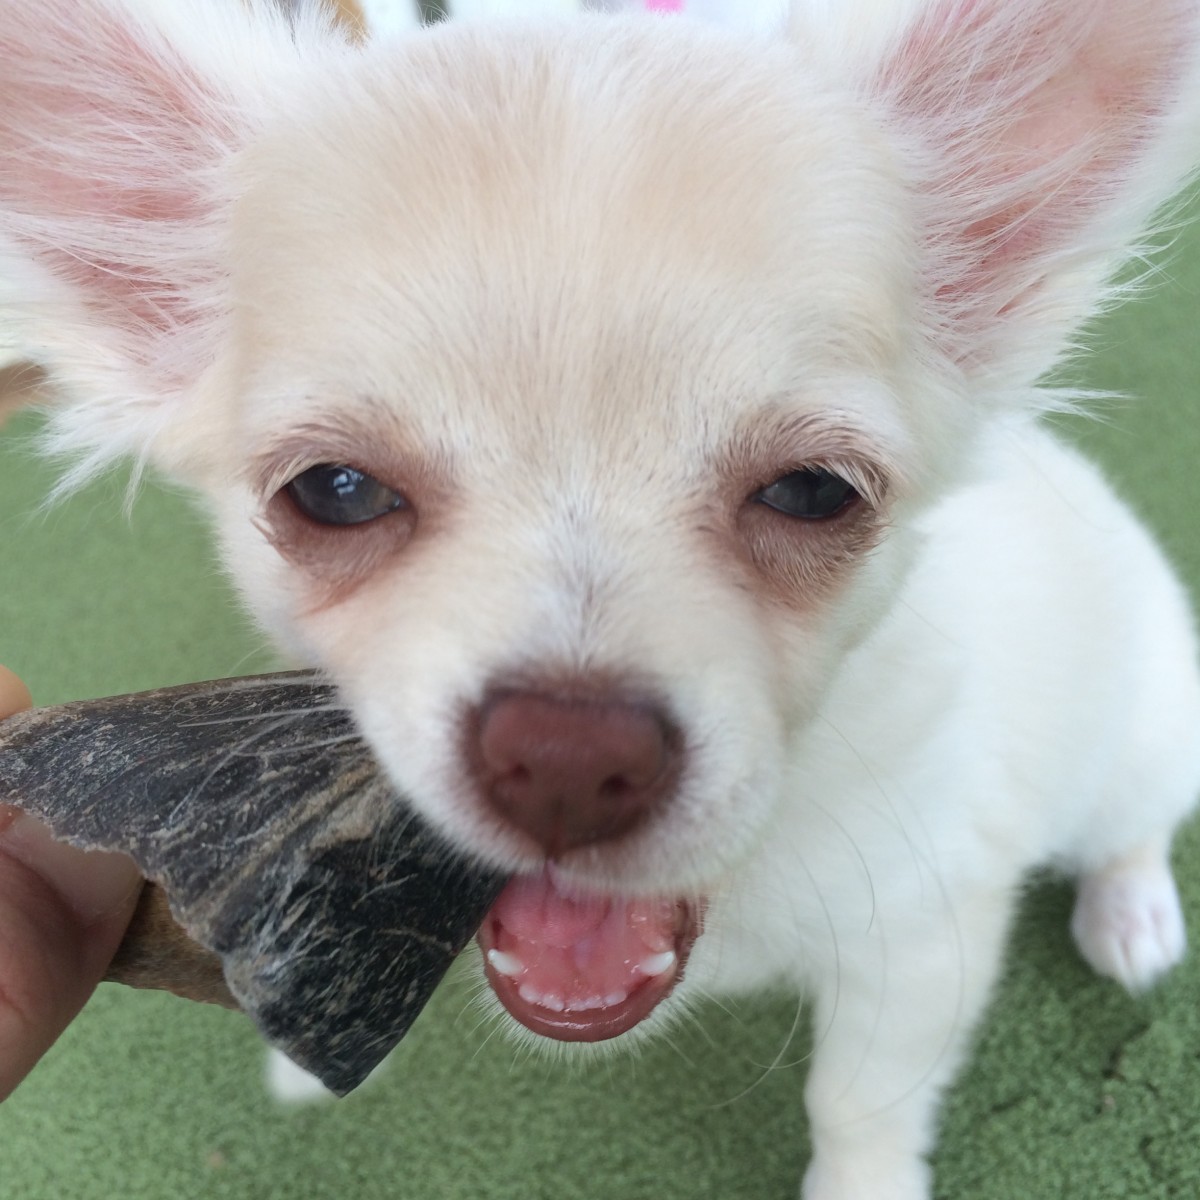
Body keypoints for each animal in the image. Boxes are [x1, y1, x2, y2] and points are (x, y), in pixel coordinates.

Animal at [3, 1, 1200, 1196]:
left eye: (814, 492)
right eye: (335, 492)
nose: (567, 759)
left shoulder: (922, 936)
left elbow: (858, 1102)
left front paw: (861, 1186)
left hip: (1150, 727)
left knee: (1133, 824)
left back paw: (1131, 910)